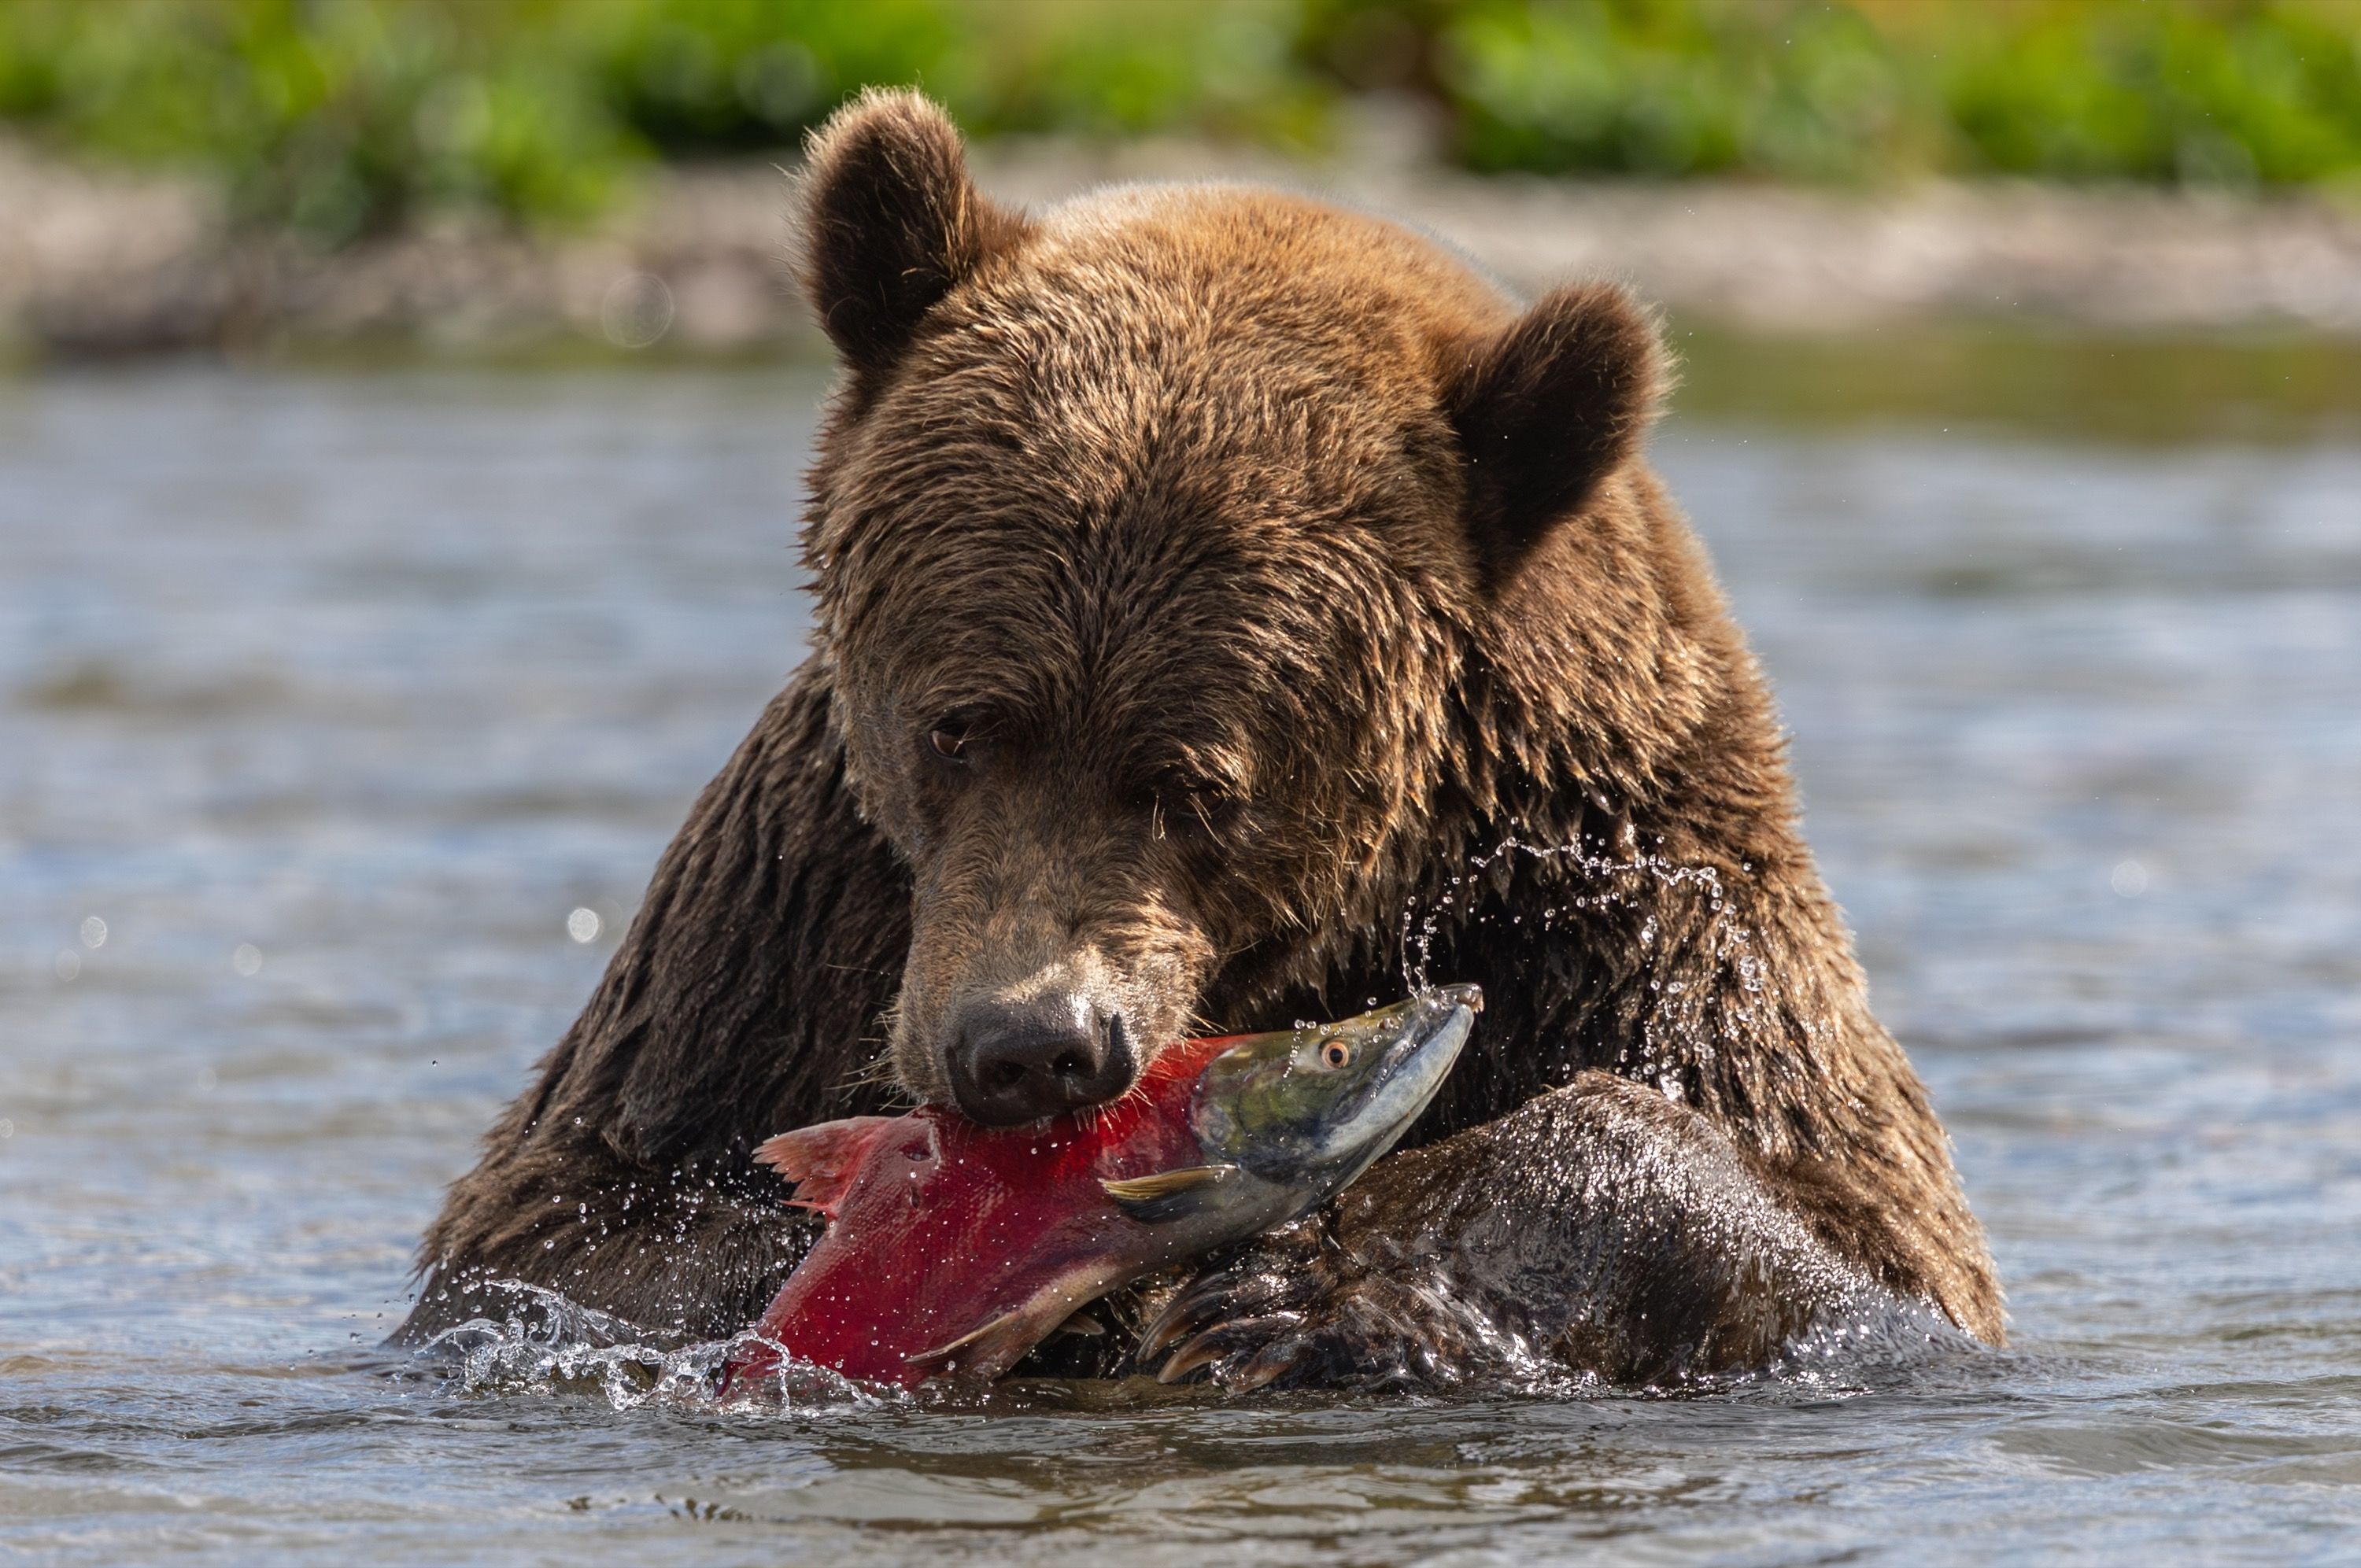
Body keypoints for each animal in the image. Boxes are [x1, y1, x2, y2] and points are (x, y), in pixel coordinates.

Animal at [398, 88, 2002, 1387]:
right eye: (960, 725)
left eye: (1191, 783)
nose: (1029, 1050)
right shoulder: (792, 913)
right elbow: (563, 1226)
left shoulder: (1637, 891)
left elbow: (1847, 1242)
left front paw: (1298, 1294)